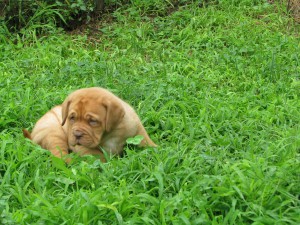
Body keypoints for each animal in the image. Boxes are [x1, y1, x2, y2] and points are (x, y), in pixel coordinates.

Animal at [23, 87, 157, 163]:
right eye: (72, 118)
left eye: (93, 121)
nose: (77, 134)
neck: (110, 134)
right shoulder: (83, 148)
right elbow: (100, 157)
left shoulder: (137, 129)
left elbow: (147, 142)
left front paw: (156, 150)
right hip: (54, 133)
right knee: (59, 155)